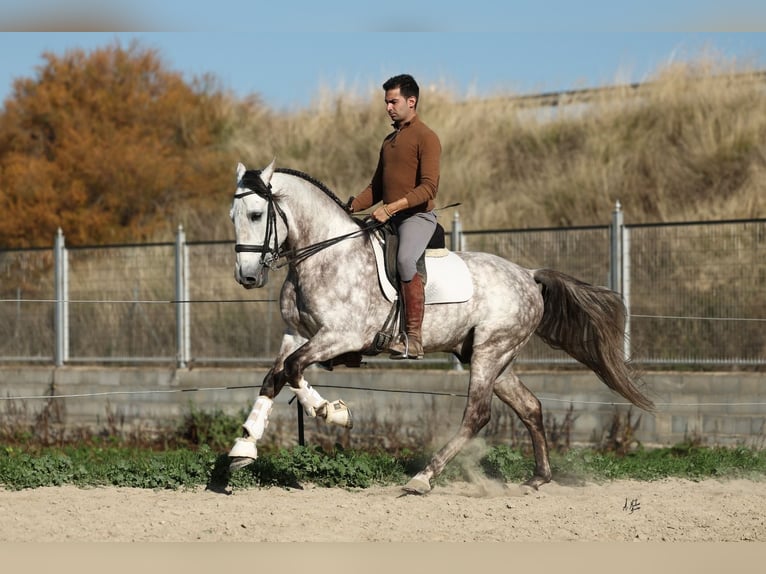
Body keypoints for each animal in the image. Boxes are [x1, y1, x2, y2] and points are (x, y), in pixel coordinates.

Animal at [226, 159, 656, 496]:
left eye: (256, 215)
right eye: (233, 217)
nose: (247, 277)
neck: (325, 254)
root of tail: (529, 275)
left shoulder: (342, 336)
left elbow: (293, 370)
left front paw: (332, 412)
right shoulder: (297, 334)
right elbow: (274, 376)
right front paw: (242, 449)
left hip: (489, 352)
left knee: (477, 414)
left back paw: (423, 478)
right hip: (494, 357)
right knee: (530, 407)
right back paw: (538, 478)